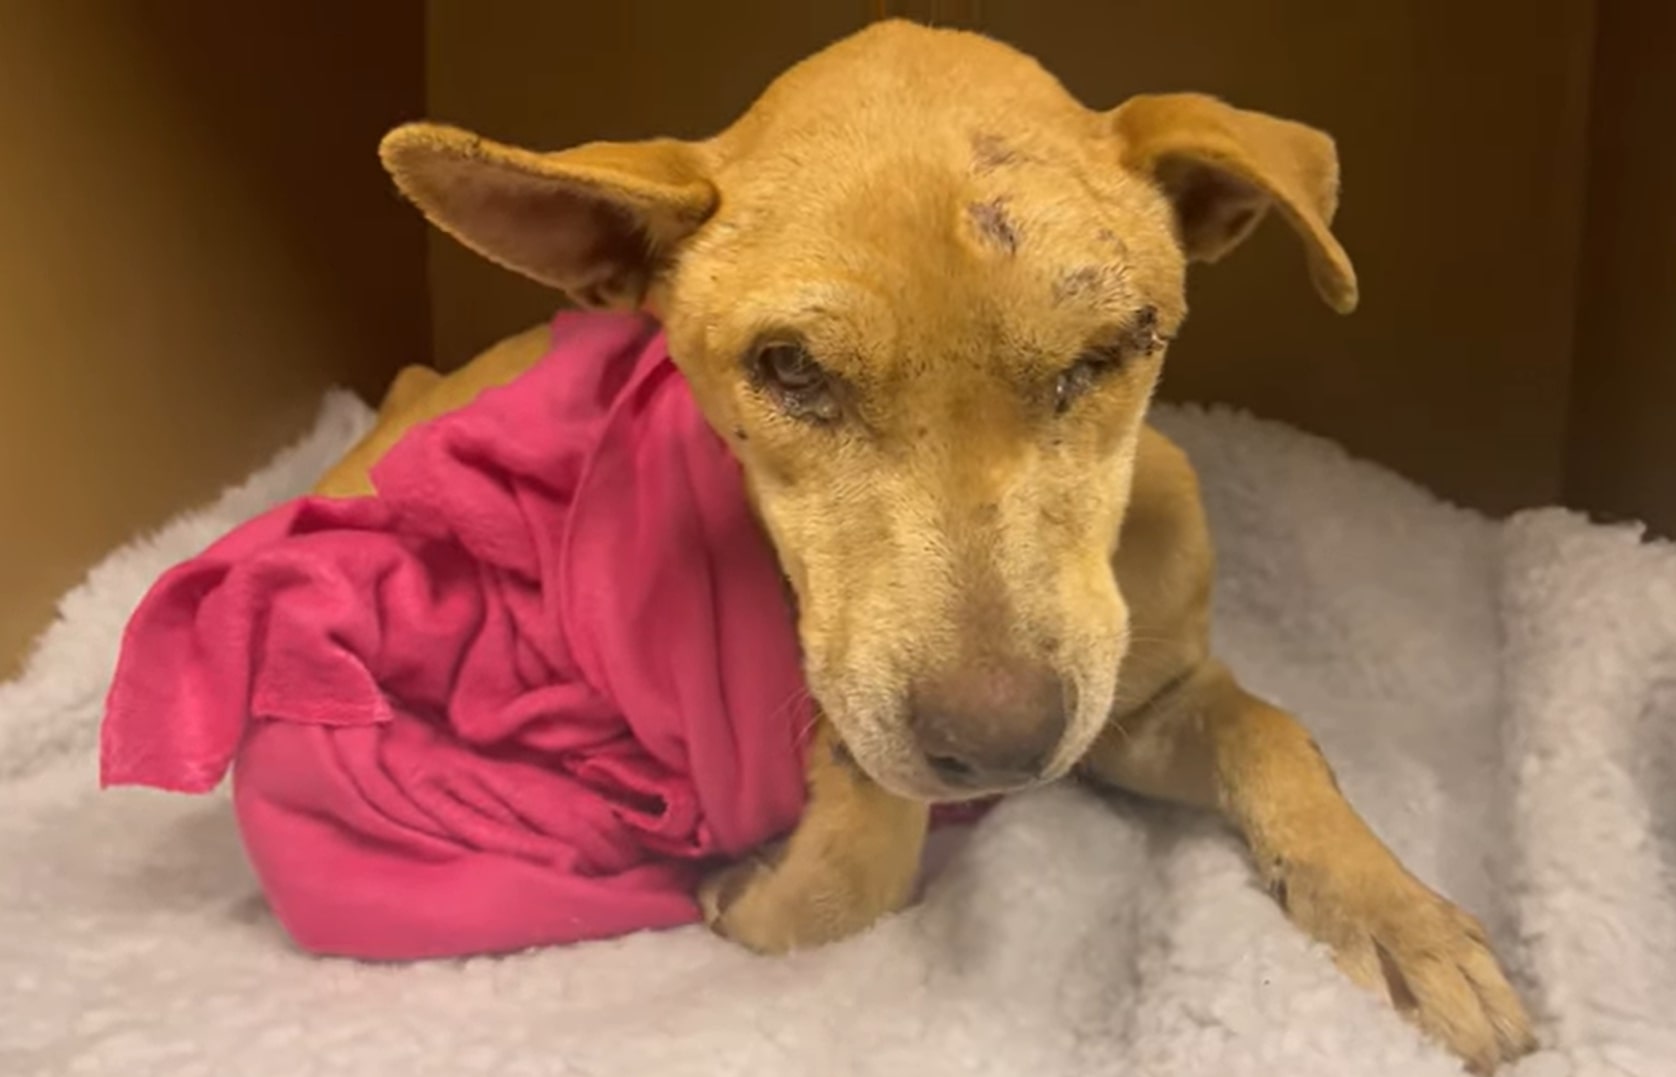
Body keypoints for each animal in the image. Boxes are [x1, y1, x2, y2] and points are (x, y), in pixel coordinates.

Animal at [316, 21, 1535, 1071]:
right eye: (789, 369)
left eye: (1108, 351)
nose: (1000, 747)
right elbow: (849, 872)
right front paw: (767, 883)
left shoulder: (1135, 709)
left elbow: (1276, 733)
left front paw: (1403, 917)